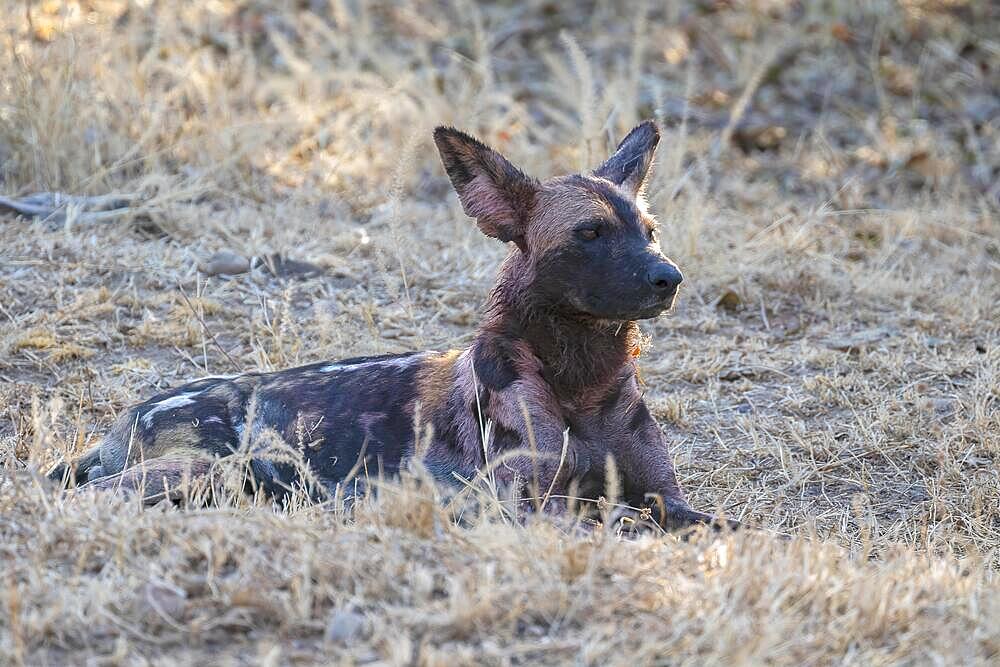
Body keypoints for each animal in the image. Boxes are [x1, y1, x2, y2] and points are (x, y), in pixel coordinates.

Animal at [50, 122, 740, 532]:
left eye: (648, 231)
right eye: (590, 234)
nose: (668, 277)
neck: (582, 383)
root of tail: (121, 424)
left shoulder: (667, 500)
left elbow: (714, 524)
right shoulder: (526, 509)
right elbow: (611, 524)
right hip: (202, 474)